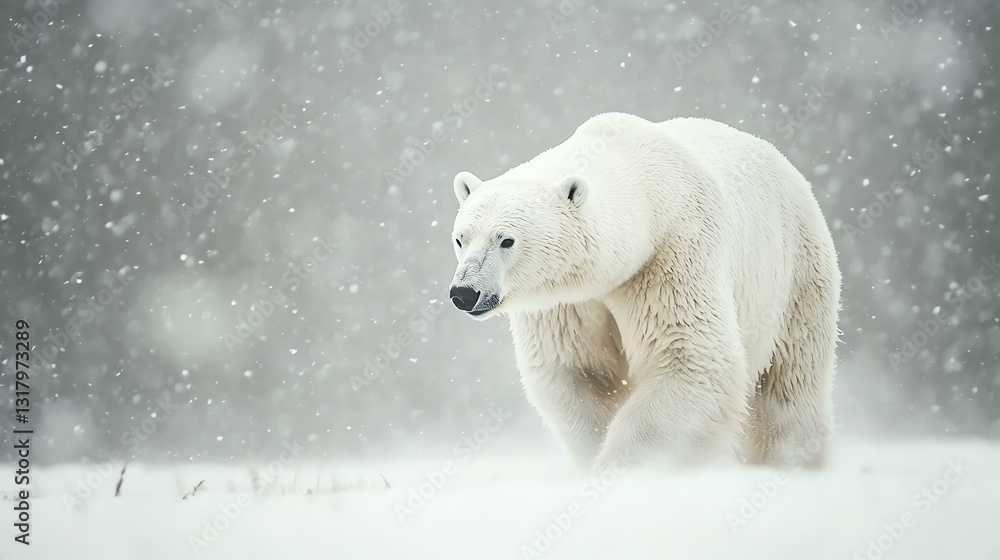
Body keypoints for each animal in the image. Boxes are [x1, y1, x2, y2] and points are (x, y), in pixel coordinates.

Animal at [448, 112, 840, 473]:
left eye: (506, 240)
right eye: (460, 238)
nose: (464, 293)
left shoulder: (673, 254)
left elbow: (691, 357)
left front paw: (621, 468)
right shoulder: (566, 299)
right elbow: (577, 371)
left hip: (795, 270)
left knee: (790, 384)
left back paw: (789, 460)